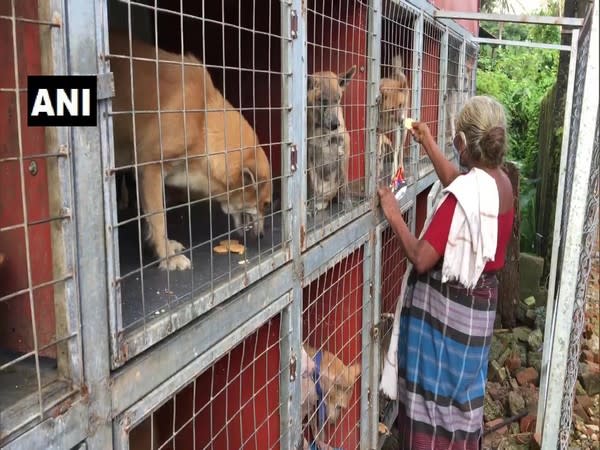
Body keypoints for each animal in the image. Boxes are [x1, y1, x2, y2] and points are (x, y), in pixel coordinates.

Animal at [109, 32, 272, 270]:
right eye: (265, 204)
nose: (261, 237)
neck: (202, 120)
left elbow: (152, 220)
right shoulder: (150, 169)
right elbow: (159, 219)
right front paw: (168, 257)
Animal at [308, 66, 358, 214]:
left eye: (338, 99)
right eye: (322, 100)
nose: (336, 124)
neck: (323, 131)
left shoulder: (343, 153)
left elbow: (345, 185)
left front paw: (347, 204)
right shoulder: (310, 158)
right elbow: (313, 187)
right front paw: (311, 207)